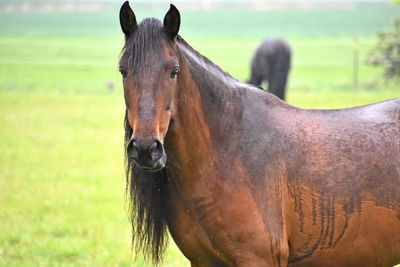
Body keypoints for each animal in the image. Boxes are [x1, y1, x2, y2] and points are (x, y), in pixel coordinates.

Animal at [119, 1, 400, 266]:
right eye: (123, 70)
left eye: (173, 71)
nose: (146, 149)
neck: (225, 152)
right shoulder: (202, 261)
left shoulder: (257, 259)